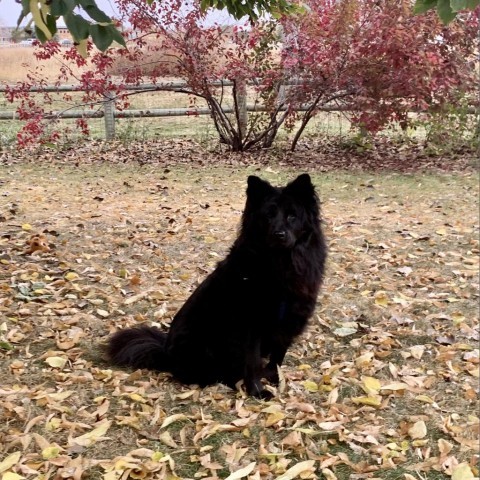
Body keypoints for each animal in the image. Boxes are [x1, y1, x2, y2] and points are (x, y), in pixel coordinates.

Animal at [106, 174, 326, 400]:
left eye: (292, 216)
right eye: (268, 216)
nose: (278, 234)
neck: (281, 264)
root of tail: (165, 353)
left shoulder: (289, 322)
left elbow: (277, 359)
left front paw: (276, 381)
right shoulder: (250, 327)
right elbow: (252, 363)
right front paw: (257, 391)